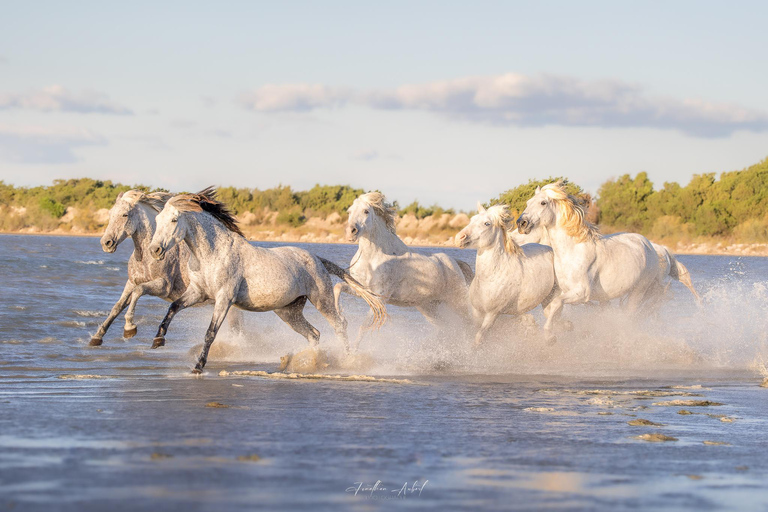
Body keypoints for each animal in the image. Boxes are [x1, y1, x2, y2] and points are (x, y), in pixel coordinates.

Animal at [92, 190, 243, 346]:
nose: (106, 243)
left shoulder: (163, 286)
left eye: (125, 215)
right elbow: (118, 306)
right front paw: (97, 336)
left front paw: (129, 328)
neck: (146, 256)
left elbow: (138, 291)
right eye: (110, 214)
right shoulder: (131, 282)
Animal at [148, 188, 388, 372]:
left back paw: (347, 361)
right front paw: (158, 340)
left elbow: (210, 333)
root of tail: (317, 258)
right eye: (158, 219)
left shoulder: (224, 298)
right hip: (288, 312)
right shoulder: (197, 292)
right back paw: (312, 362)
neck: (212, 253)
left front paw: (198, 366)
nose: (155, 250)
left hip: (322, 300)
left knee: (339, 326)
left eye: (174, 219)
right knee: (314, 334)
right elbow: (173, 306)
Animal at [336, 192, 474, 348]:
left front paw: (352, 352)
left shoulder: (380, 297)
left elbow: (364, 327)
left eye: (366, 211)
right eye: (349, 211)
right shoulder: (364, 290)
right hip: (428, 308)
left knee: (469, 326)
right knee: (447, 328)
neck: (373, 256)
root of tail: (456, 263)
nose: (351, 232)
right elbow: (338, 287)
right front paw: (340, 320)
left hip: (458, 304)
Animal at [452, 203, 556, 344]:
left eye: (487, 223)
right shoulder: (477, 312)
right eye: (472, 219)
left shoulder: (492, 314)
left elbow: (479, 338)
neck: (491, 277)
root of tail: (549, 247)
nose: (459, 238)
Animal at [512, 183, 664, 336]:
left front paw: (549, 335)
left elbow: (556, 304)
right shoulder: (564, 291)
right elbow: (552, 310)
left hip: (638, 291)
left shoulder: (581, 292)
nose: (521, 223)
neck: (572, 251)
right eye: (528, 203)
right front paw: (564, 326)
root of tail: (648, 244)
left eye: (543, 203)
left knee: (629, 317)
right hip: (608, 297)